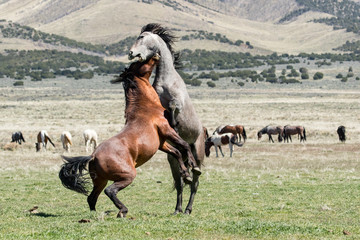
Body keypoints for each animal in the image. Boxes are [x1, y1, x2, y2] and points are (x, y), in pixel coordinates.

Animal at [58, 57, 200, 218]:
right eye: (139, 63)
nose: (156, 56)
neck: (145, 107)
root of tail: (93, 156)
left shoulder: (162, 143)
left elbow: (176, 153)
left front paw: (186, 174)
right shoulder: (167, 130)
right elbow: (184, 146)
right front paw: (194, 168)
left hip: (100, 181)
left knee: (92, 198)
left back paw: (96, 214)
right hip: (127, 176)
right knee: (110, 191)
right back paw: (122, 211)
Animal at [129, 23, 205, 216]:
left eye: (141, 37)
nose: (131, 53)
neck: (166, 81)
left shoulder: (177, 103)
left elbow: (172, 106)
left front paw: (175, 124)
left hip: (198, 153)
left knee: (195, 182)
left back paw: (188, 209)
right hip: (173, 162)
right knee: (180, 183)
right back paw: (178, 209)